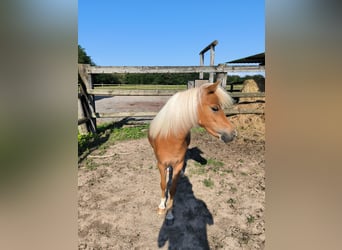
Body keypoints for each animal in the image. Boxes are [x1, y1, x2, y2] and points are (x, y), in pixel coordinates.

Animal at [148, 80, 236, 217]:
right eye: (215, 108)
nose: (233, 134)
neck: (169, 138)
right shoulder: (161, 164)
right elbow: (163, 185)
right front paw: (162, 207)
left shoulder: (178, 163)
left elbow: (173, 188)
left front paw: (170, 211)